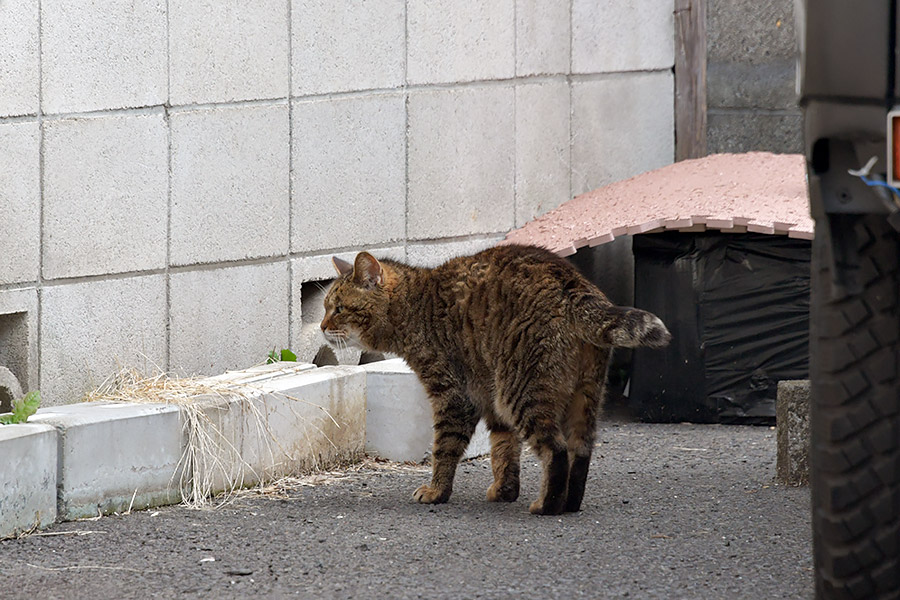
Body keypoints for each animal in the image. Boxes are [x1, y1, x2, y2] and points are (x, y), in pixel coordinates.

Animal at [322, 244, 668, 516]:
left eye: (338, 308)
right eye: (325, 307)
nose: (322, 326)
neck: (414, 306)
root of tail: (574, 283)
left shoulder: (454, 395)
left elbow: (444, 448)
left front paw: (437, 491)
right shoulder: (489, 397)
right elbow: (504, 449)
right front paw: (505, 490)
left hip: (521, 391)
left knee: (555, 450)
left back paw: (547, 506)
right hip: (582, 395)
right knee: (580, 452)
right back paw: (570, 503)